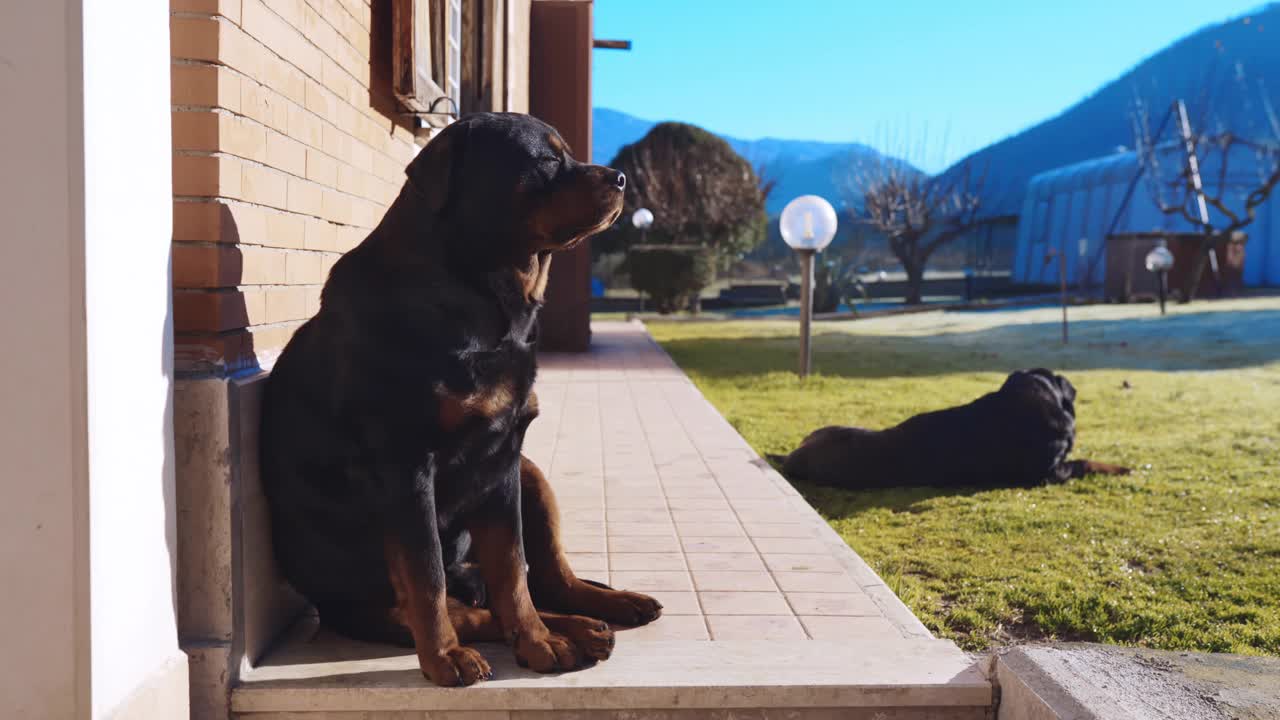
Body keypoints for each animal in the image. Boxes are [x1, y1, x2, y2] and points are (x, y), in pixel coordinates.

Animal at [258, 112, 660, 681]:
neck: (484, 298)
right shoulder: (404, 465)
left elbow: (512, 568)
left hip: (531, 473)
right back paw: (572, 630)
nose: (621, 178)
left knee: (545, 579)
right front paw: (445, 658)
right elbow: (428, 576)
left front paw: (537, 642)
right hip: (369, 600)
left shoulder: (504, 456)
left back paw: (602, 611)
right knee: (463, 607)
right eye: (546, 159)